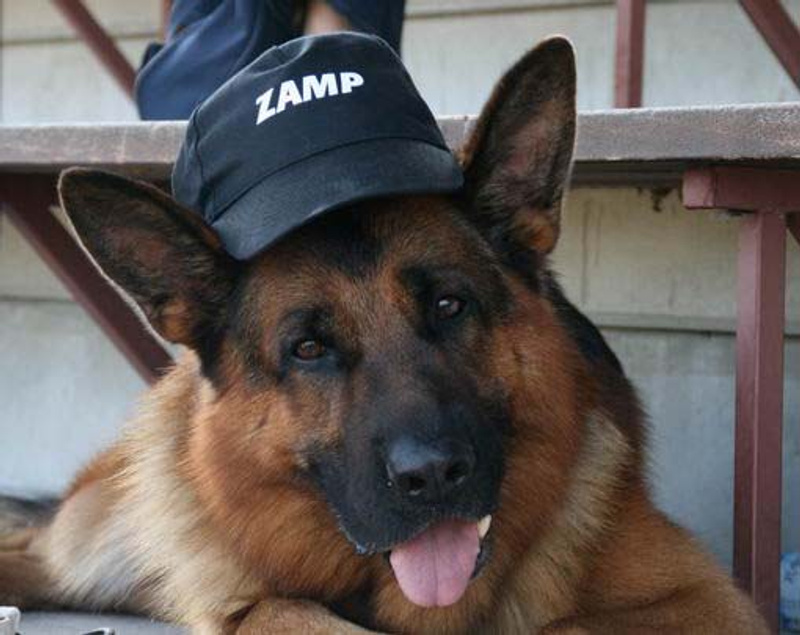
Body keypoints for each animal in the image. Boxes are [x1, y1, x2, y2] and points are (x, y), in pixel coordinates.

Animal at [0, 37, 767, 634]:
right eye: (308, 348)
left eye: (450, 305)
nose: (431, 475)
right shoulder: (244, 596)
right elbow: (277, 608)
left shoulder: (711, 601)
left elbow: (561, 623)